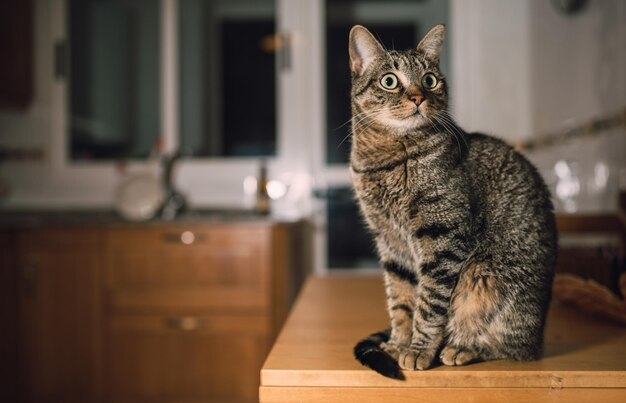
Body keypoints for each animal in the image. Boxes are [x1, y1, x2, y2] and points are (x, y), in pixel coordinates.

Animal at [348, 24, 560, 378]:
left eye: (430, 80)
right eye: (389, 80)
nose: (417, 97)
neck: (385, 160)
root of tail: (540, 335)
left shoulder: (444, 235)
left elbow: (429, 302)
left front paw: (419, 350)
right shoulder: (390, 242)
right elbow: (402, 301)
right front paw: (399, 342)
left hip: (486, 277)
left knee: (513, 348)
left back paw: (463, 347)